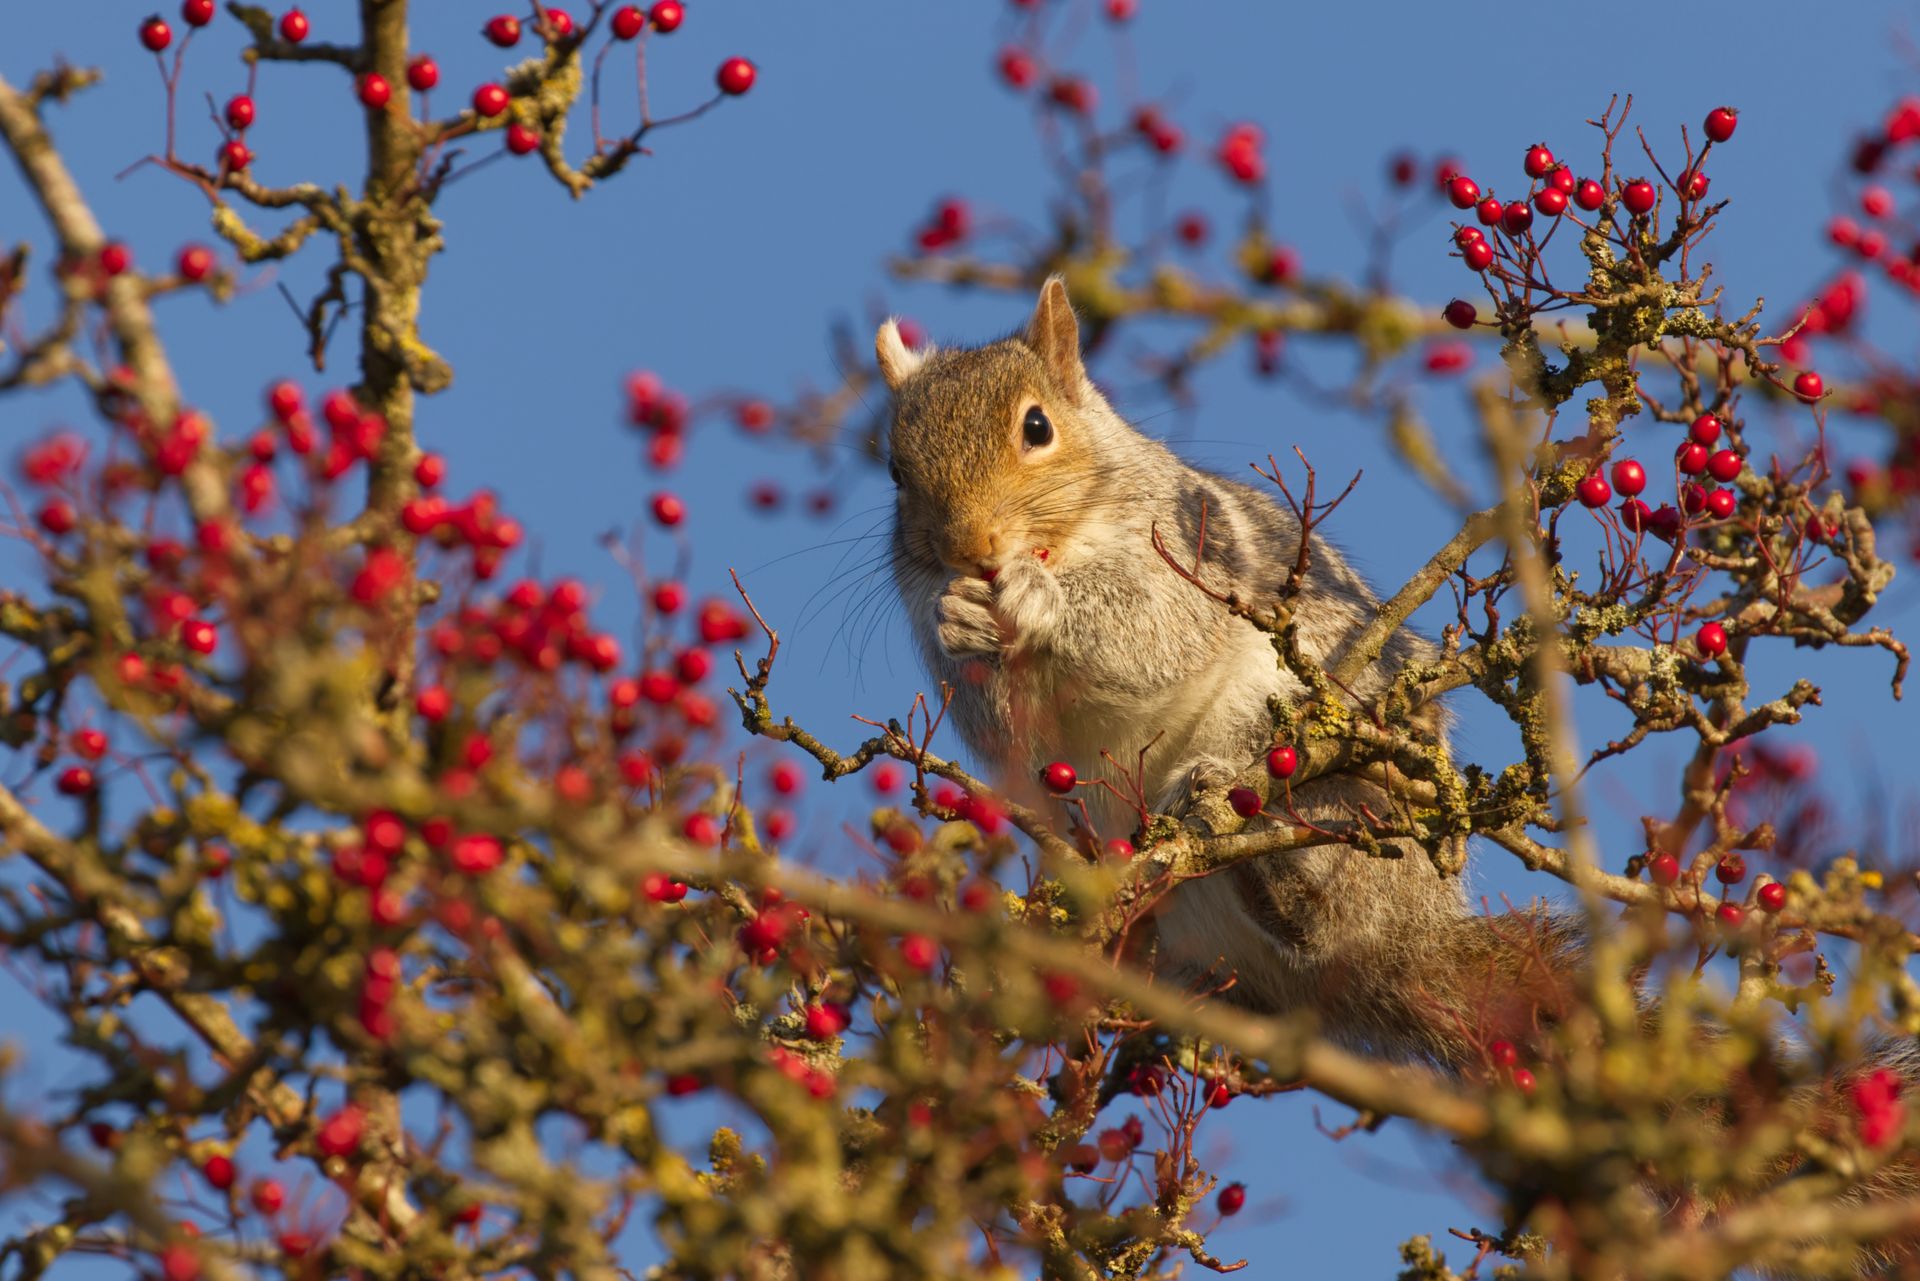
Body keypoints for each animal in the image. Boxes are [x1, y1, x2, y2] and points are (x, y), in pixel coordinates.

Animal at [876, 276, 1575, 1073]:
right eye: (894, 471)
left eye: (1037, 427)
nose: (971, 547)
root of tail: (1416, 939)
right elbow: (997, 716)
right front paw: (958, 618)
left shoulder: (1188, 558)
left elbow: (1150, 629)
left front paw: (1039, 597)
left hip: (1354, 789)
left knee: (1327, 909)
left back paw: (1253, 841)